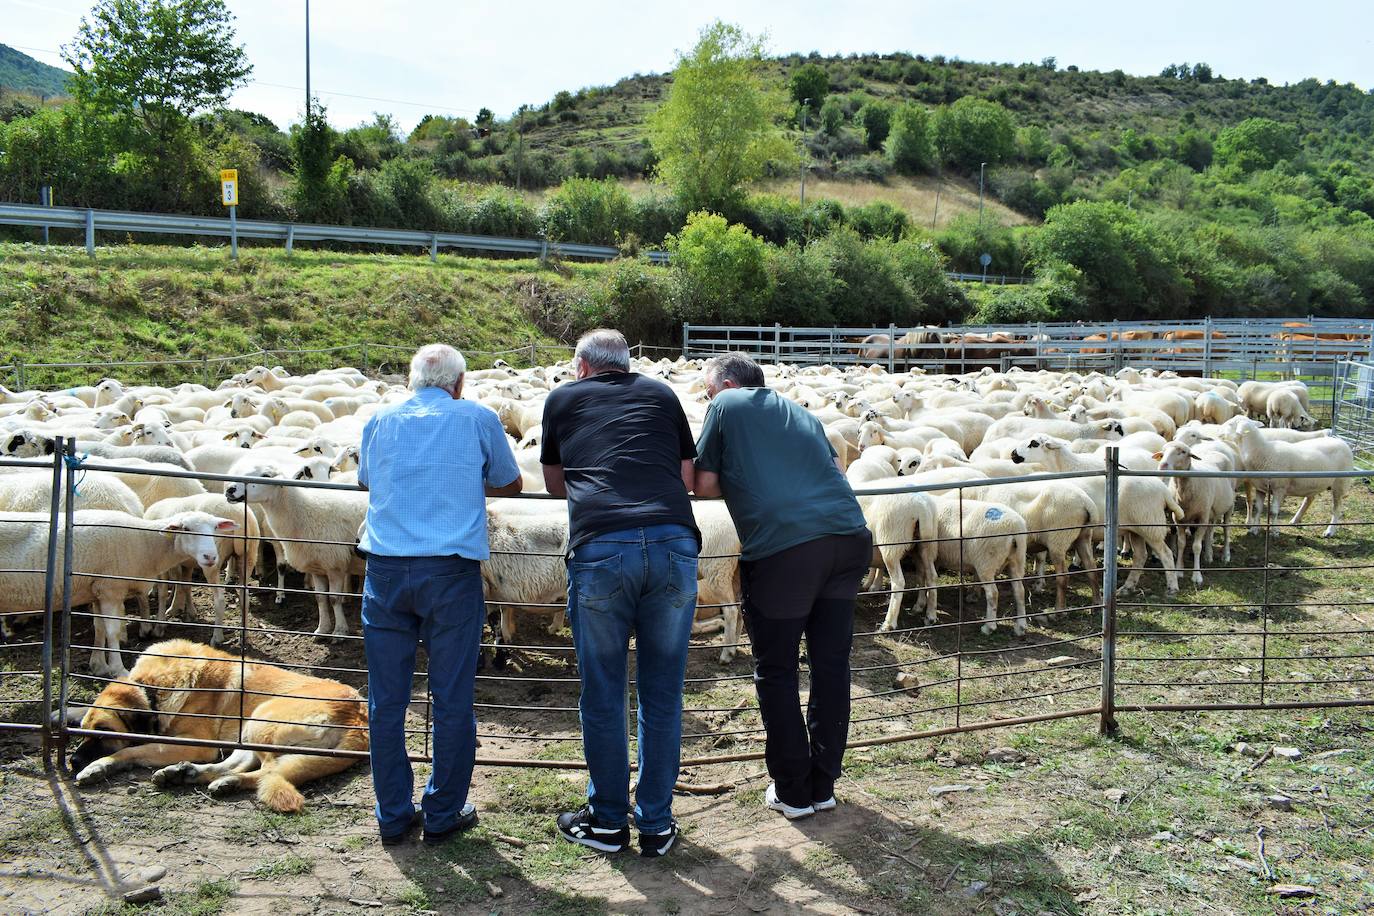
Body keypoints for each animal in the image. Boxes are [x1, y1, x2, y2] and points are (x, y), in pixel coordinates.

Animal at [68, 642, 370, 813]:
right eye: (84, 729)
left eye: (105, 731)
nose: (73, 761)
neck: (153, 685)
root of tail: (360, 715)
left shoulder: (197, 744)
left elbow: (131, 750)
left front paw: (98, 766)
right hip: (248, 729)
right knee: (239, 764)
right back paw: (189, 774)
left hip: (260, 719)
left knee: (269, 771)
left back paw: (221, 780)